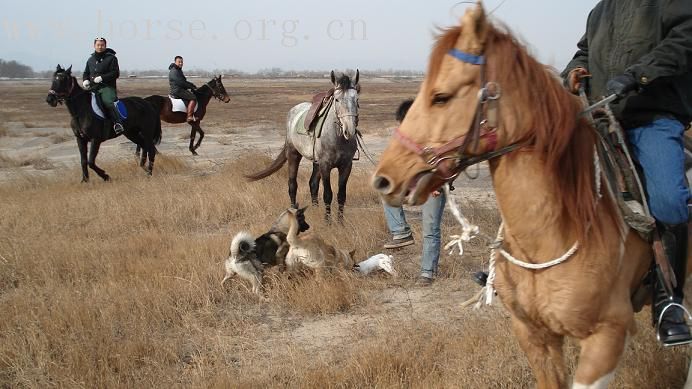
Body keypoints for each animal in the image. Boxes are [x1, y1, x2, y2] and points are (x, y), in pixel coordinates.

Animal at [243, 70, 360, 221]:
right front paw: (328, 222)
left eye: (356, 99)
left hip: (316, 162)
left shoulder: (346, 166)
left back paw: (315, 209)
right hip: (294, 155)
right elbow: (328, 195)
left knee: (313, 184)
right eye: (337, 100)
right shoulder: (325, 166)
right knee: (292, 185)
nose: (349, 131)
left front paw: (340, 222)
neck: (337, 137)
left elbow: (341, 195)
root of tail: (293, 111)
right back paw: (293, 212)